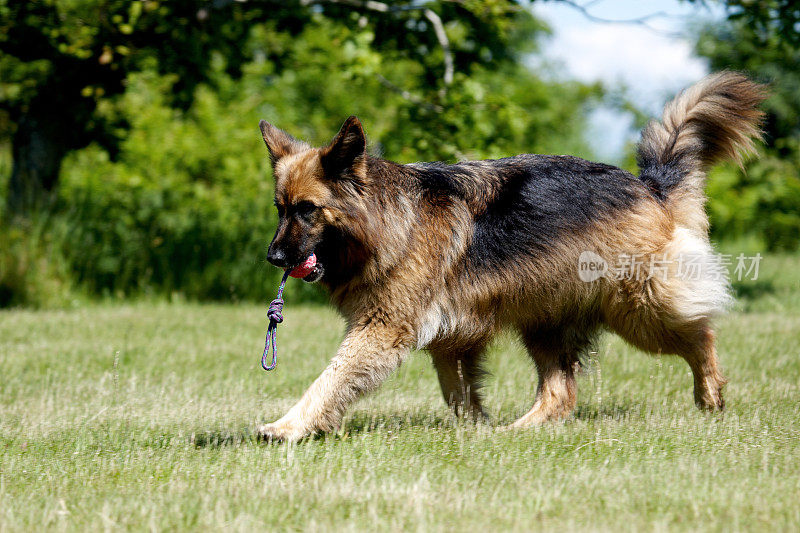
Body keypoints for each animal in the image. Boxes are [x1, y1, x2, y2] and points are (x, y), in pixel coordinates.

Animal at [255, 72, 764, 442]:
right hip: (545, 322)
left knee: (700, 334)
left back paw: (710, 395)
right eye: (279, 209)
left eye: (307, 209)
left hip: (638, 310)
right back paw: (517, 430)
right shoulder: (451, 340)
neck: (390, 221)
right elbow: (457, 392)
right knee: (560, 392)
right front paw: (473, 427)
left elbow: (331, 379)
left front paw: (288, 426)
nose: (274, 257)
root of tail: (649, 187)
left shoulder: (381, 330)